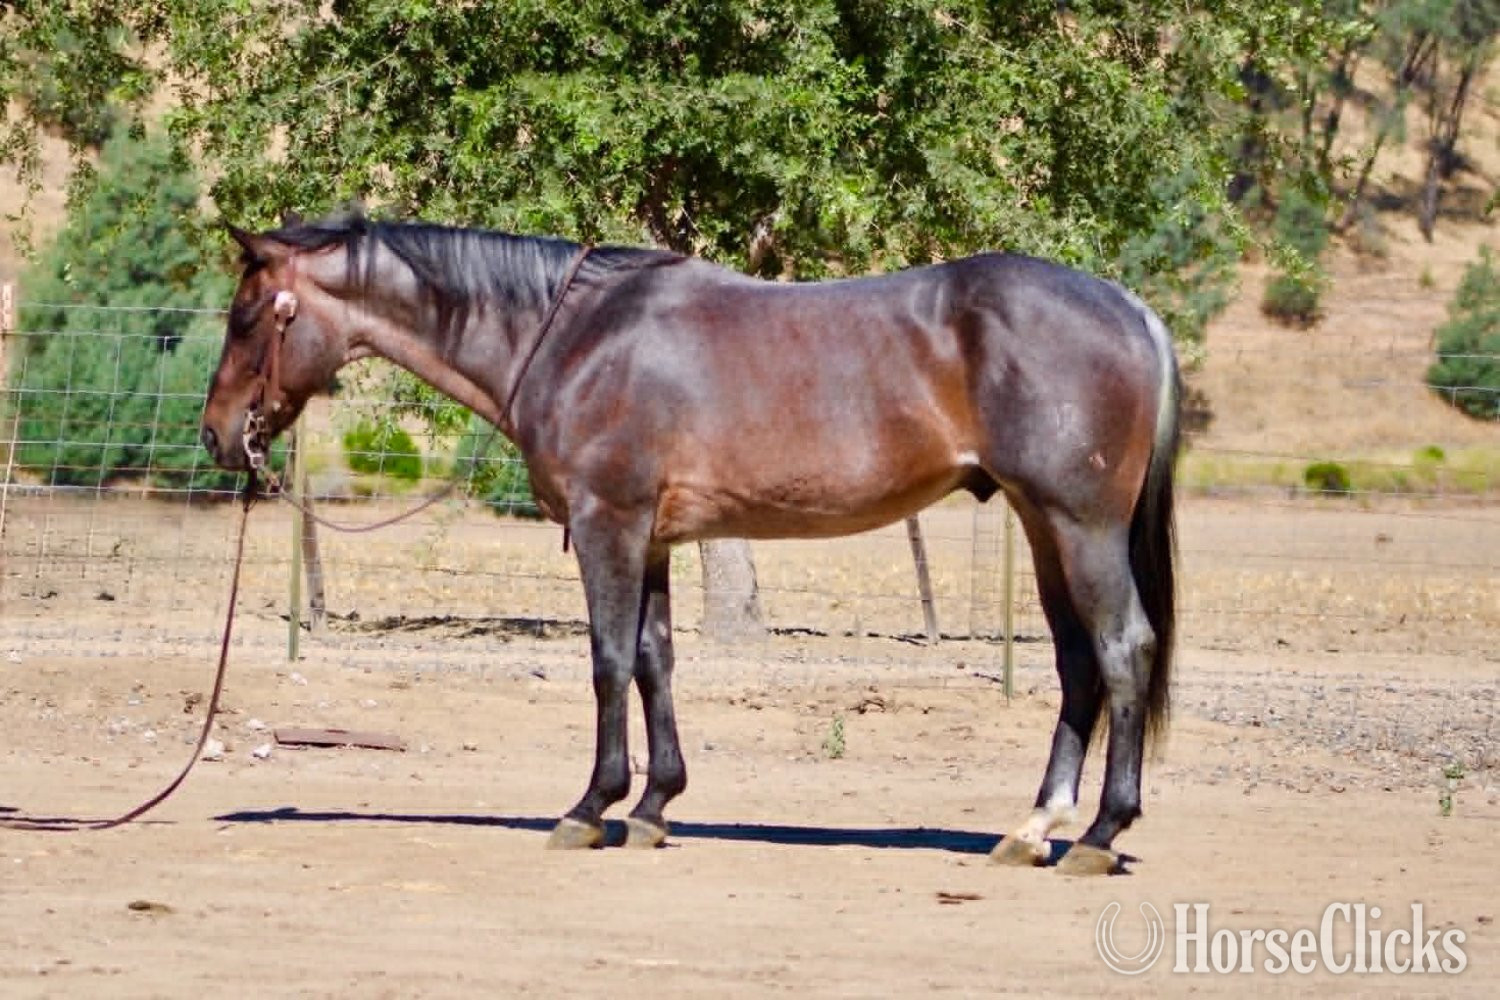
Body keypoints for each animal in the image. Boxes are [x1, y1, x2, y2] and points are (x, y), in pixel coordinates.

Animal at [200, 214, 1179, 875]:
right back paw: (1035, 828)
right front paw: (654, 806)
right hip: (1042, 526)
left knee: (1123, 649)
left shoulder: (608, 524)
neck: (574, 336)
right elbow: (653, 660)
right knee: (1079, 664)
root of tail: (1132, 310)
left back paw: (1100, 833)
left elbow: (606, 662)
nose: (216, 436)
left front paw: (590, 807)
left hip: (1079, 525)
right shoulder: (655, 538)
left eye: (246, 317)